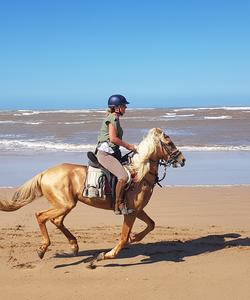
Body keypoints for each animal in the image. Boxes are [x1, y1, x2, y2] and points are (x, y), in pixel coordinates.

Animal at [0, 127, 186, 266]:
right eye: (169, 143)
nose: (183, 160)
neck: (139, 174)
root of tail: (44, 173)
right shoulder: (130, 212)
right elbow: (123, 237)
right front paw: (105, 255)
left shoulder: (137, 210)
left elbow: (151, 225)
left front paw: (135, 237)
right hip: (64, 204)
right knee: (41, 216)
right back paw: (43, 248)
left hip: (66, 204)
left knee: (56, 220)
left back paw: (73, 246)